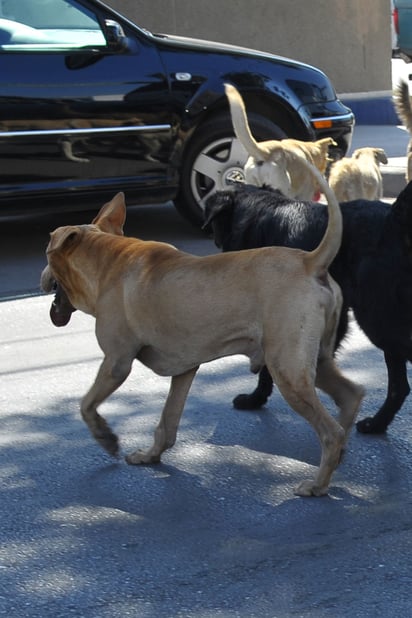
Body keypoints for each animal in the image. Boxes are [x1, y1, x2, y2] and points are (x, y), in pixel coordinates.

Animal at [41, 160, 364, 496]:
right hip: (314, 361)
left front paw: (105, 437)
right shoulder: (185, 370)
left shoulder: (116, 363)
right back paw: (339, 454)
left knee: (330, 431)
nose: (43, 276)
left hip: (287, 369)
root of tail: (311, 262)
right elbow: (167, 421)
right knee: (351, 395)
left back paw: (318, 483)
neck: (109, 260)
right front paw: (151, 455)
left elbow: (86, 404)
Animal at [204, 182, 412, 434]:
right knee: (400, 386)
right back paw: (377, 424)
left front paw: (256, 398)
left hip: (378, 321)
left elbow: (270, 368)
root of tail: (396, 220)